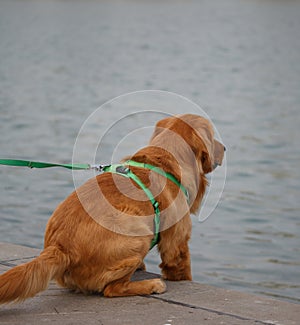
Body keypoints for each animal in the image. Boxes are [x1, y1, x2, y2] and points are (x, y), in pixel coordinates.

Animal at [0, 112, 225, 302]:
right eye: (212, 136)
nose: (225, 148)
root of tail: (59, 247)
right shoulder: (176, 243)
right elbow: (182, 268)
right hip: (137, 232)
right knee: (112, 289)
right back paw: (151, 284)